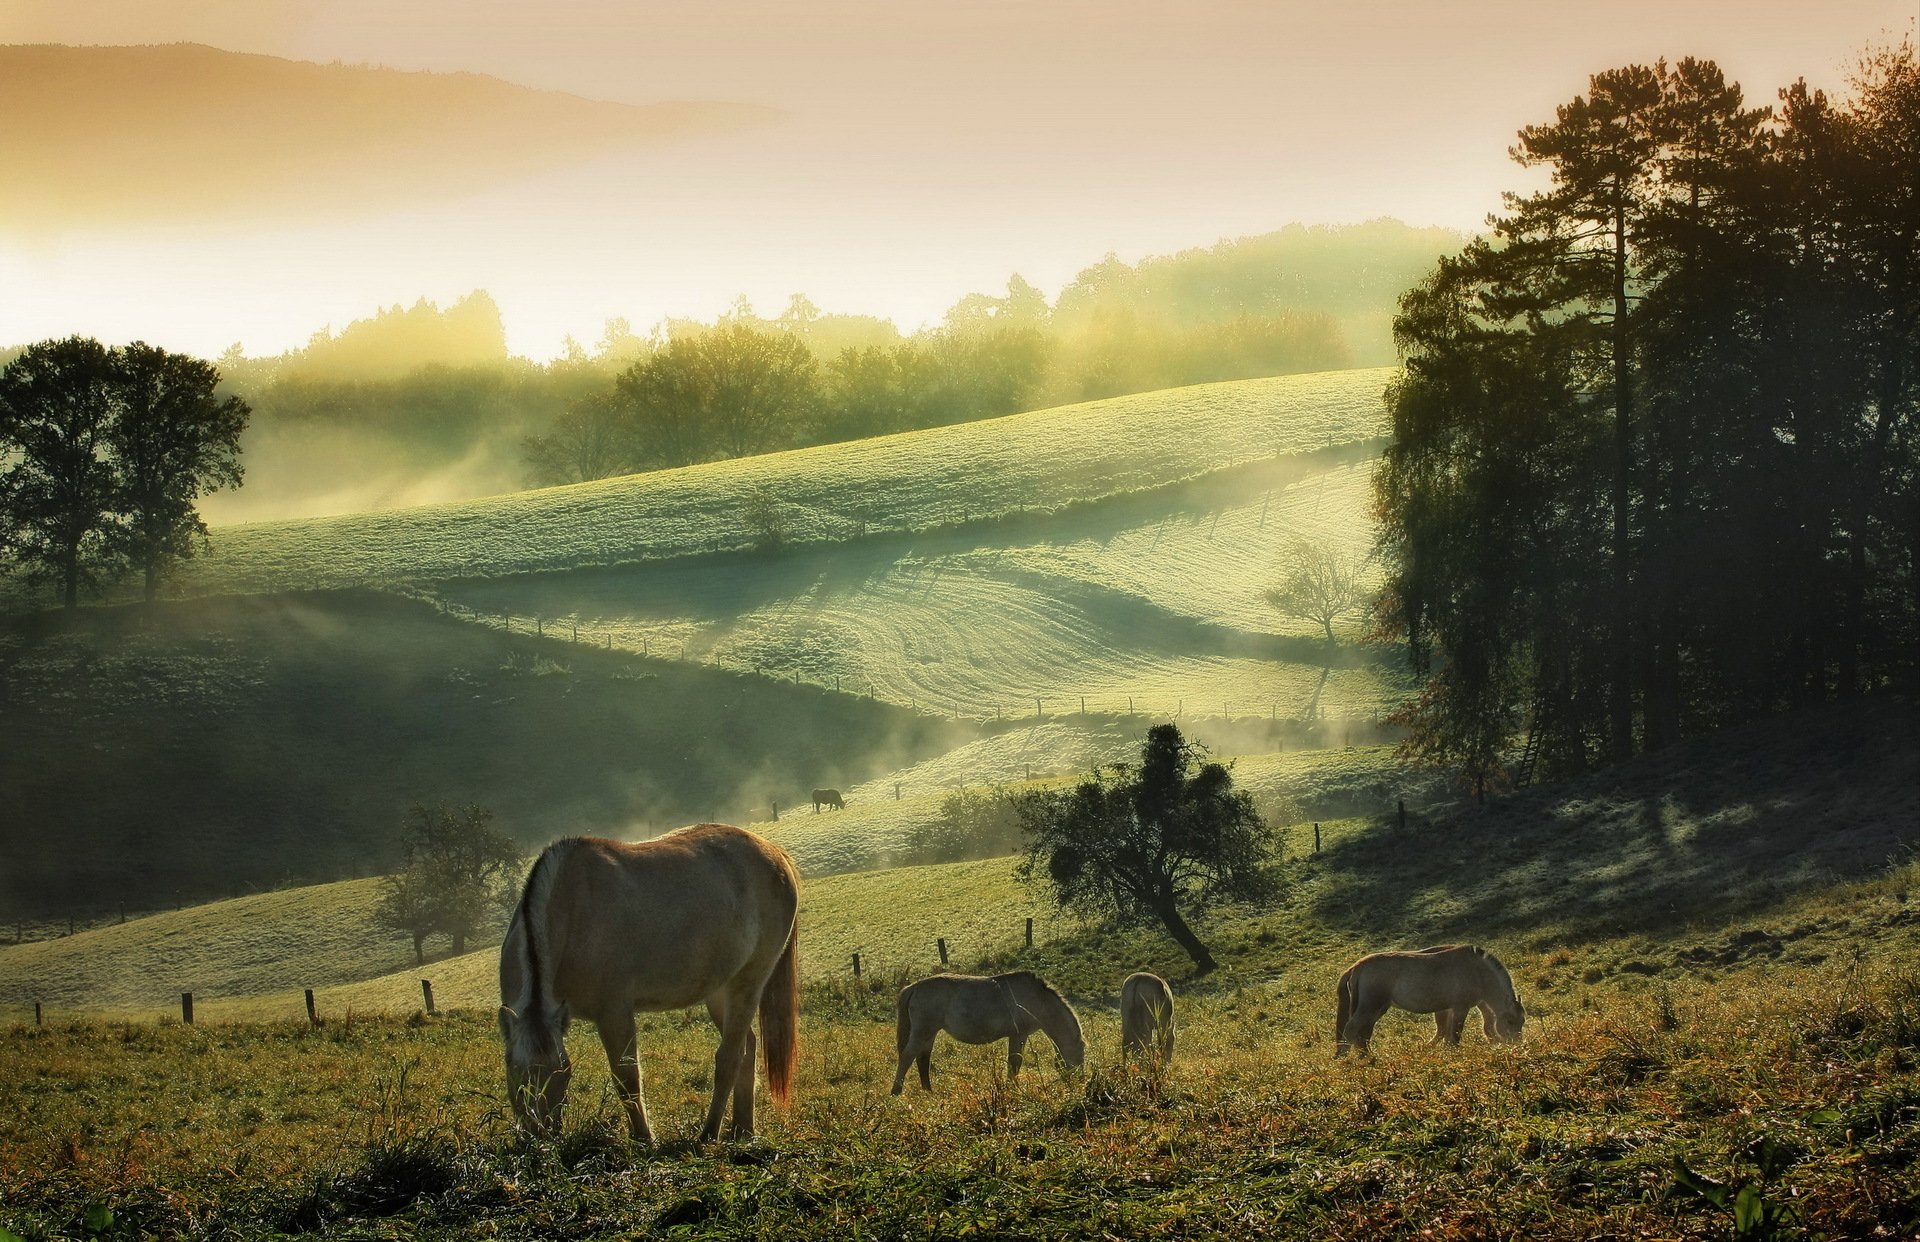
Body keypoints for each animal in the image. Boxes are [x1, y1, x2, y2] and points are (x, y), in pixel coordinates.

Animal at [497, 824, 800, 1143]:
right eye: (514, 1069)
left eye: (563, 1070)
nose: (540, 1134)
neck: (571, 911)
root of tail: (776, 854)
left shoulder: (614, 1013)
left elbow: (627, 1077)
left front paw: (643, 1137)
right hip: (721, 992)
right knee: (747, 1047)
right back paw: (742, 1130)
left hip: (749, 981)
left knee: (729, 1057)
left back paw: (709, 1132)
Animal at [892, 970, 1085, 1093]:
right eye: (1081, 1054)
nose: (1080, 1083)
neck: (1037, 1000)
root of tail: (914, 987)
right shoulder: (1018, 1035)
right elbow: (1015, 1063)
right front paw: (1013, 1088)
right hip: (923, 1031)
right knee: (907, 1056)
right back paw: (896, 1091)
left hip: (929, 1033)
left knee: (923, 1059)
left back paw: (928, 1091)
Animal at [1334, 944, 1524, 1057]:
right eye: (1510, 1021)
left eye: (1522, 1022)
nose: (1517, 1045)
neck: (1478, 971)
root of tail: (1357, 966)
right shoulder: (1460, 1008)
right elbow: (1455, 1036)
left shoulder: (1450, 1009)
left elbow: (1447, 1035)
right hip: (1370, 1006)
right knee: (1351, 1030)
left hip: (1377, 1008)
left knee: (1363, 1033)